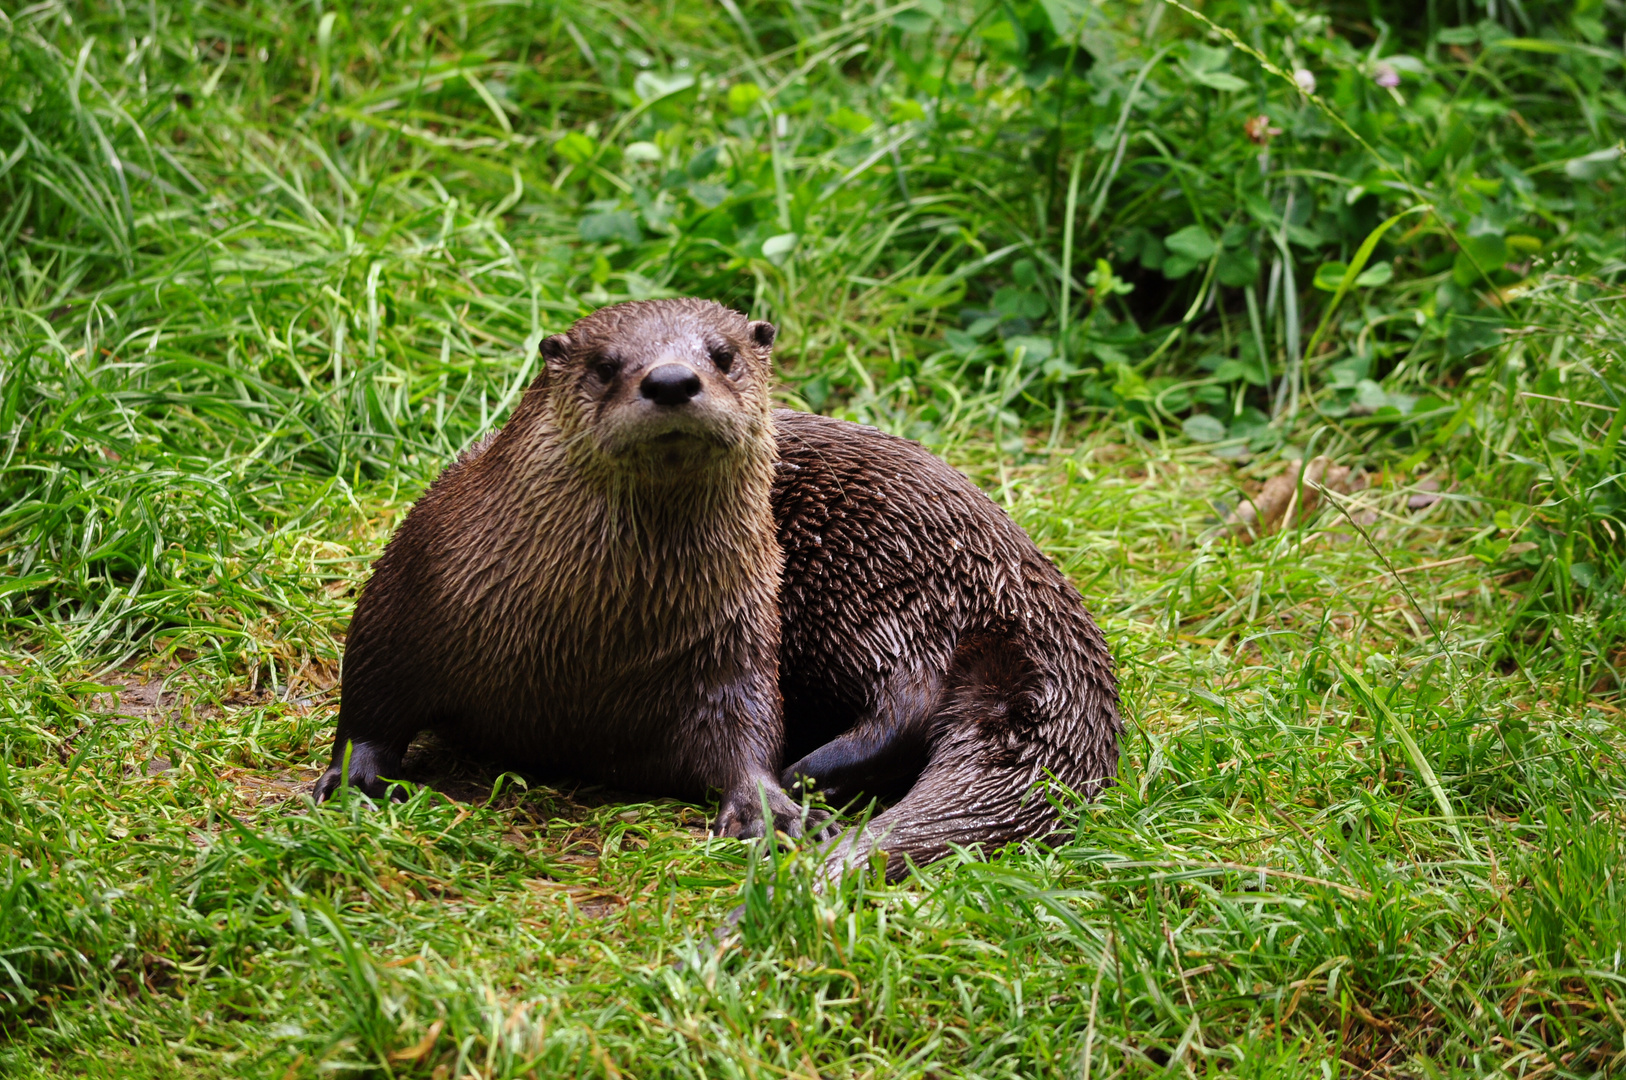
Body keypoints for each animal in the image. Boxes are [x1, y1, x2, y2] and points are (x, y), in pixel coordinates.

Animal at [320, 296, 1131, 878]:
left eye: (723, 356)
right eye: (605, 364)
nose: (672, 379)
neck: (586, 642)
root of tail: (1019, 579)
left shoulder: (732, 640)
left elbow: (743, 728)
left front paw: (768, 807)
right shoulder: (415, 580)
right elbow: (369, 692)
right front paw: (357, 782)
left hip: (879, 581)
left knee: (912, 691)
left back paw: (810, 777)